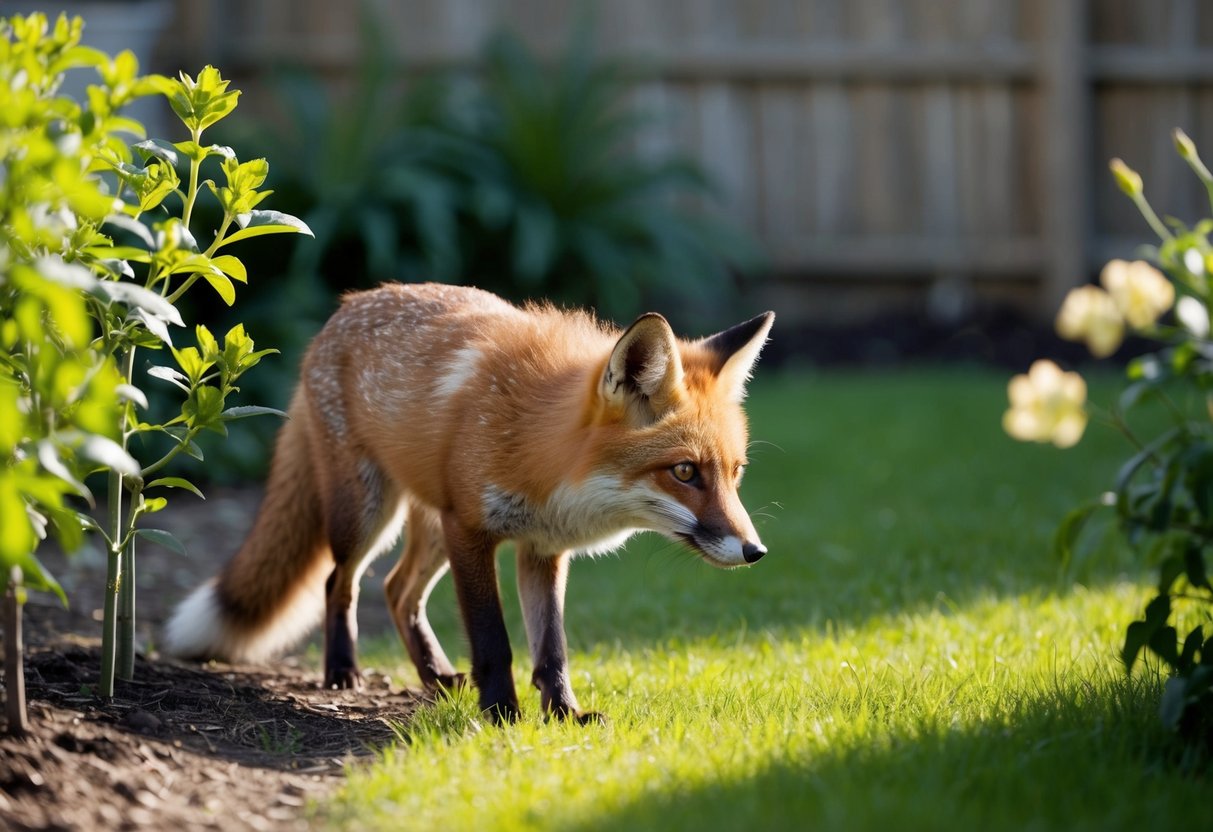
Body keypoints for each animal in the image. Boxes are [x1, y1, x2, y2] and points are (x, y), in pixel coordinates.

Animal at [165, 282, 773, 724]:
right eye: (685, 472)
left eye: (736, 472)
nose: (756, 551)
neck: (542, 450)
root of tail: (346, 306)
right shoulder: (472, 531)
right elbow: (493, 640)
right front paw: (502, 715)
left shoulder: (542, 550)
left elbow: (552, 648)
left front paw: (563, 715)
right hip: (369, 513)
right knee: (340, 582)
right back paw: (343, 670)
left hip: (429, 527)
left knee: (397, 591)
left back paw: (435, 675)